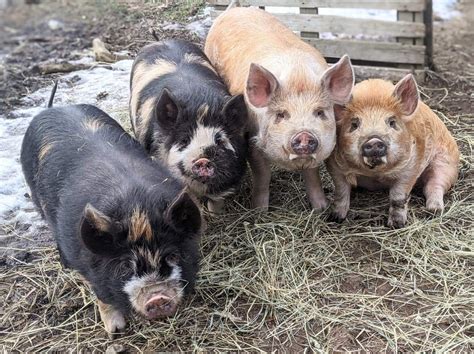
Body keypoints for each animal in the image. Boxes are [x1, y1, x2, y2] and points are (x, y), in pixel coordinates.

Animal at [130, 40, 248, 214]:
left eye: (219, 140)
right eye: (184, 140)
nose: (204, 159)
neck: (199, 104)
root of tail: (160, 41)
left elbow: (216, 201)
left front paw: (215, 214)